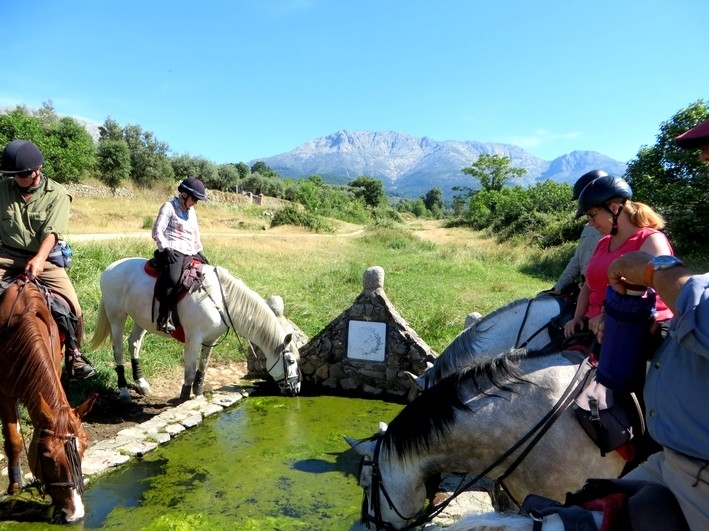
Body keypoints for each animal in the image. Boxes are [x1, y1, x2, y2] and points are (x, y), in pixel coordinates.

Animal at [0, 280, 97, 524]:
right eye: (47, 458)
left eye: (83, 450)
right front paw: (15, 485)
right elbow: (13, 440)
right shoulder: (4, 394)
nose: (75, 513)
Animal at [90, 258, 300, 404]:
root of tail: (109, 269)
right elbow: (190, 372)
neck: (220, 301)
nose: (296, 388)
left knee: (134, 344)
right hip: (116, 316)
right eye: (290, 361)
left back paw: (142, 384)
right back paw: (124, 391)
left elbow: (202, 368)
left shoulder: (210, 340)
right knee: (118, 351)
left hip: (140, 320)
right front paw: (183, 398)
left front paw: (198, 395)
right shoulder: (193, 339)